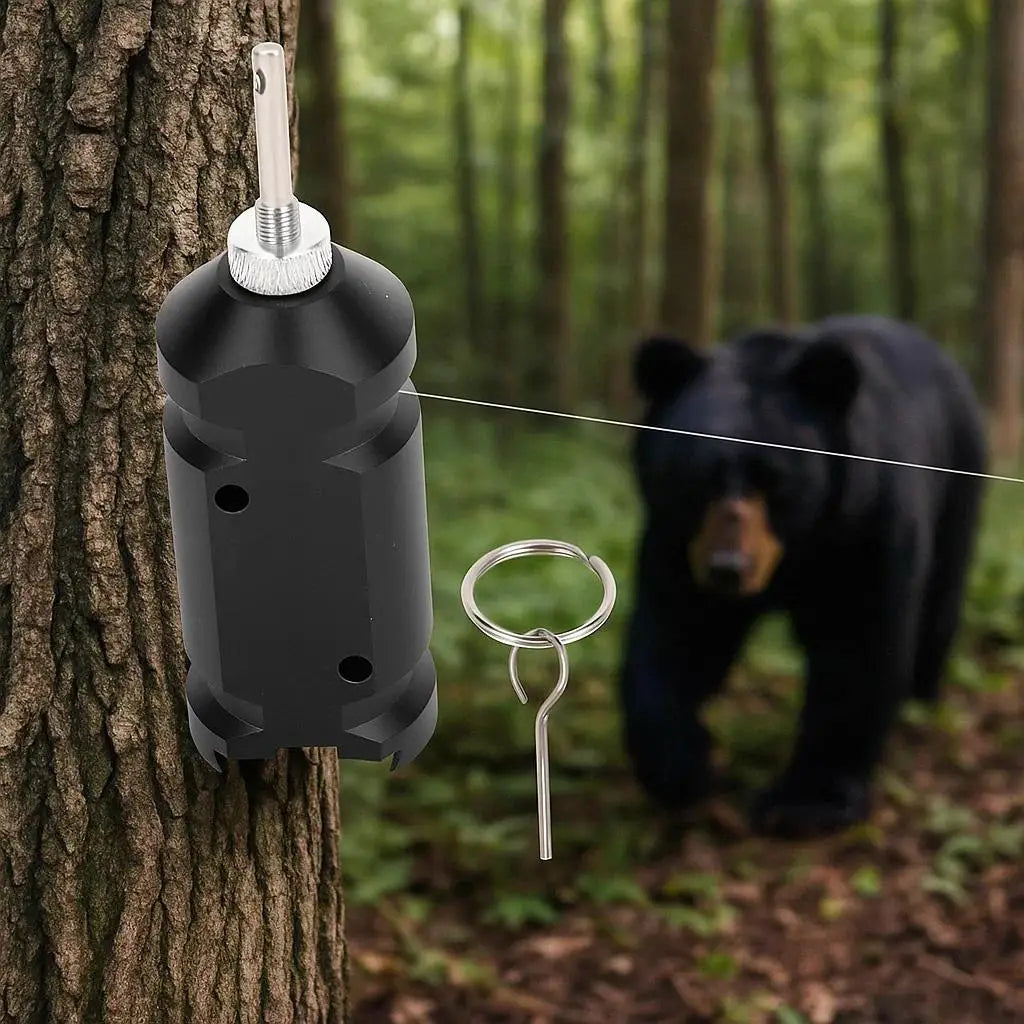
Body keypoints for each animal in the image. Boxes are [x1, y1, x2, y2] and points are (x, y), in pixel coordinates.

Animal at [619, 315, 987, 837]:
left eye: (774, 479)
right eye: (699, 477)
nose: (728, 570)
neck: (796, 552)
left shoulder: (863, 527)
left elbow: (856, 647)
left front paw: (805, 802)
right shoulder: (680, 541)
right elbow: (677, 633)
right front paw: (680, 767)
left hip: (958, 482)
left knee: (940, 600)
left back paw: (922, 699)